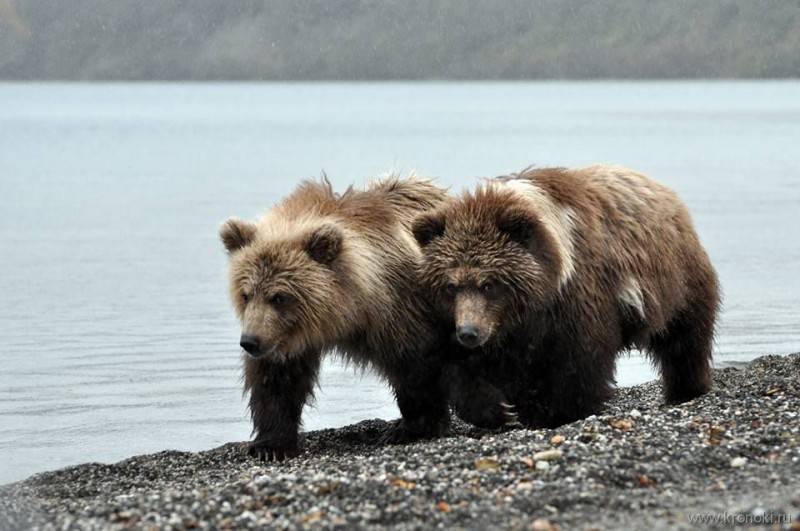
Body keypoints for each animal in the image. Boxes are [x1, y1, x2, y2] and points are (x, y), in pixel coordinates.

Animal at [219, 177, 456, 460]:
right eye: (246, 294)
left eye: (279, 297)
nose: (250, 341)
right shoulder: (284, 338)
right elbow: (277, 381)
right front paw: (270, 445)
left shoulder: (400, 309)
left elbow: (415, 363)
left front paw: (414, 427)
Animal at [412, 164, 720, 430]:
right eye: (450, 286)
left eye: (489, 284)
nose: (469, 332)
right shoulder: (480, 325)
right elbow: (457, 366)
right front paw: (500, 410)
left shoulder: (576, 301)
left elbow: (579, 360)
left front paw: (559, 412)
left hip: (678, 280)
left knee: (684, 340)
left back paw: (686, 389)